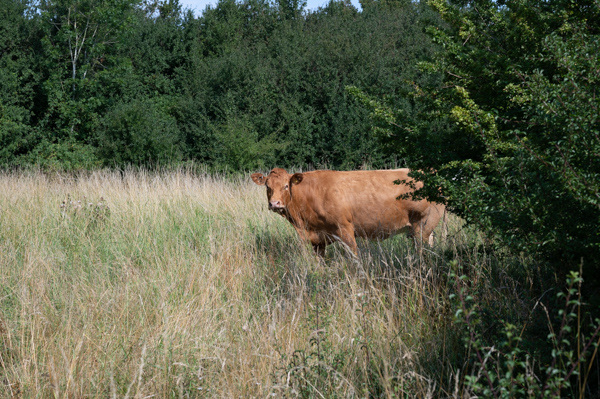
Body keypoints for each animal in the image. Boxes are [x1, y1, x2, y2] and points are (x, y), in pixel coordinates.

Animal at [250, 168, 446, 256]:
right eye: (267, 186)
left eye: (285, 186)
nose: (275, 203)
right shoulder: (317, 240)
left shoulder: (345, 229)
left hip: (423, 226)